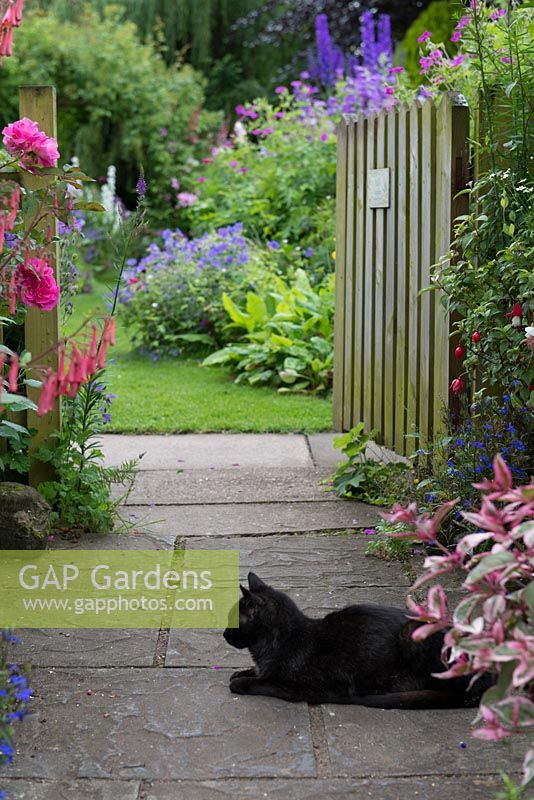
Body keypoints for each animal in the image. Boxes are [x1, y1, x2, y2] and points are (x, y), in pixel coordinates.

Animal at [223, 572, 494, 708]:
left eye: (233, 621)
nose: (224, 634)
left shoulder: (297, 686)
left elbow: (264, 683)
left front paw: (242, 682)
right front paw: (242, 672)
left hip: (413, 636)